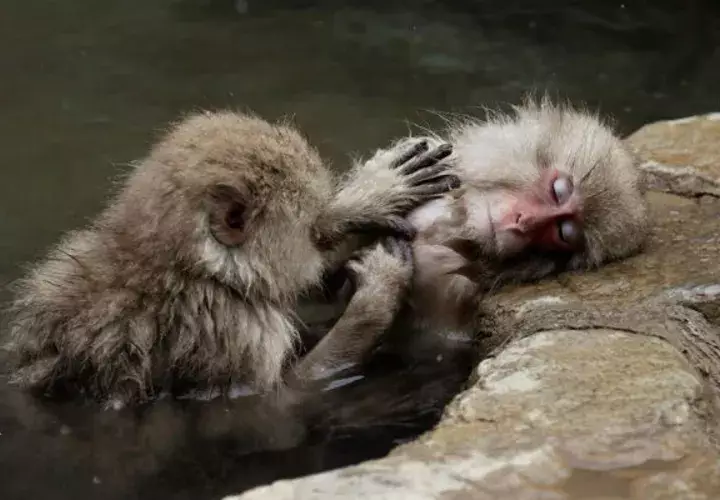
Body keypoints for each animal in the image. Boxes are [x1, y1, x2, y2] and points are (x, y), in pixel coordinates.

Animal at [3, 110, 459, 407]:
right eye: (311, 234)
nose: (326, 230)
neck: (185, 268)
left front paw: (360, 204)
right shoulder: (231, 330)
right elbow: (277, 400)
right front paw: (378, 289)